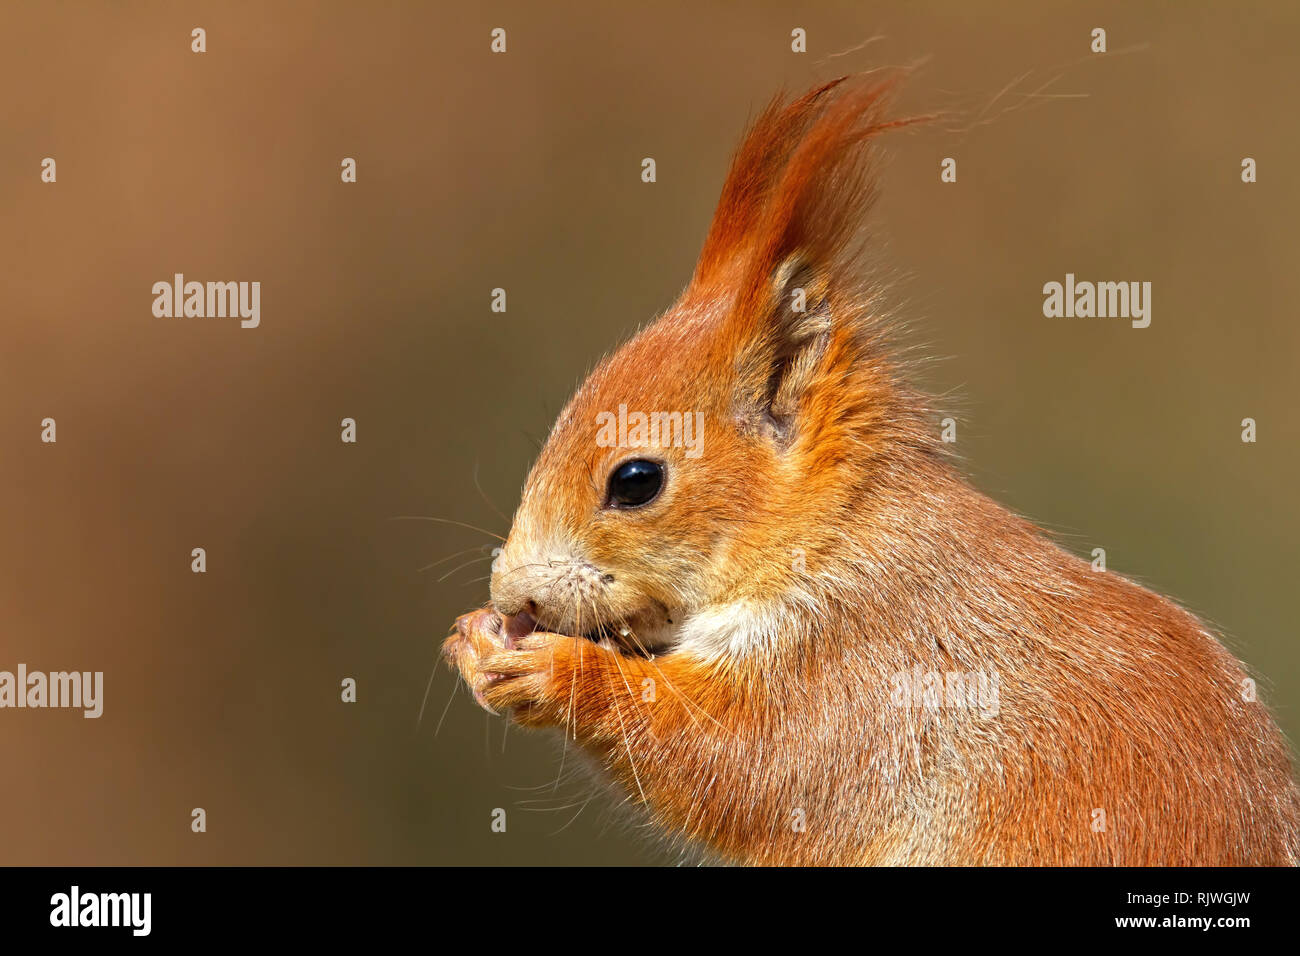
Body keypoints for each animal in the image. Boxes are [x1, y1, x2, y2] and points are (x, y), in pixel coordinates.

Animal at [441, 72, 1294, 868]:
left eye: (636, 481)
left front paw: (553, 671)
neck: (837, 533)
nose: (511, 595)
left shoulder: (868, 669)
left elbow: (742, 763)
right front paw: (474, 639)